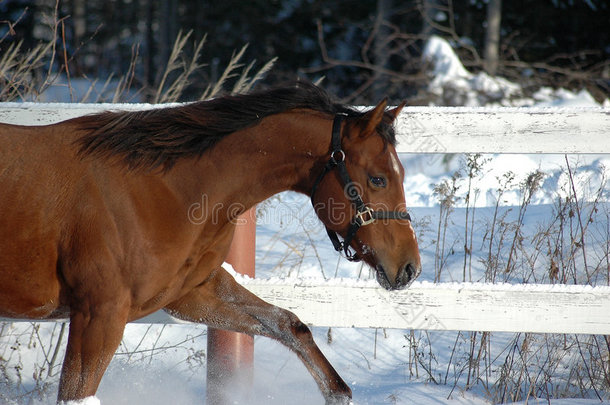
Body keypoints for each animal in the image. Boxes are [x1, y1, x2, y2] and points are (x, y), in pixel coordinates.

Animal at [0, 80, 418, 402]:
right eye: (379, 178)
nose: (410, 266)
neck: (162, 189)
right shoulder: (98, 315)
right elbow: (77, 394)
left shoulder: (193, 293)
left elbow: (288, 324)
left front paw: (338, 393)